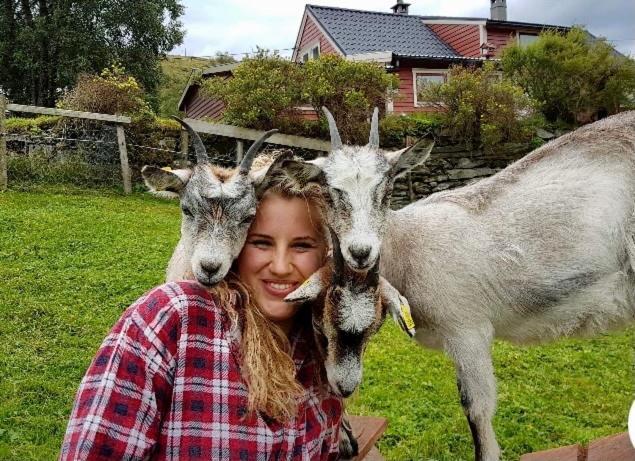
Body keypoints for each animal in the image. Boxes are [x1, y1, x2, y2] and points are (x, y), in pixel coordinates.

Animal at [274, 108, 635, 460]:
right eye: (328, 190)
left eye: (387, 189)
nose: (361, 252)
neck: (410, 245)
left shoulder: (467, 330)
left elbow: (476, 410)